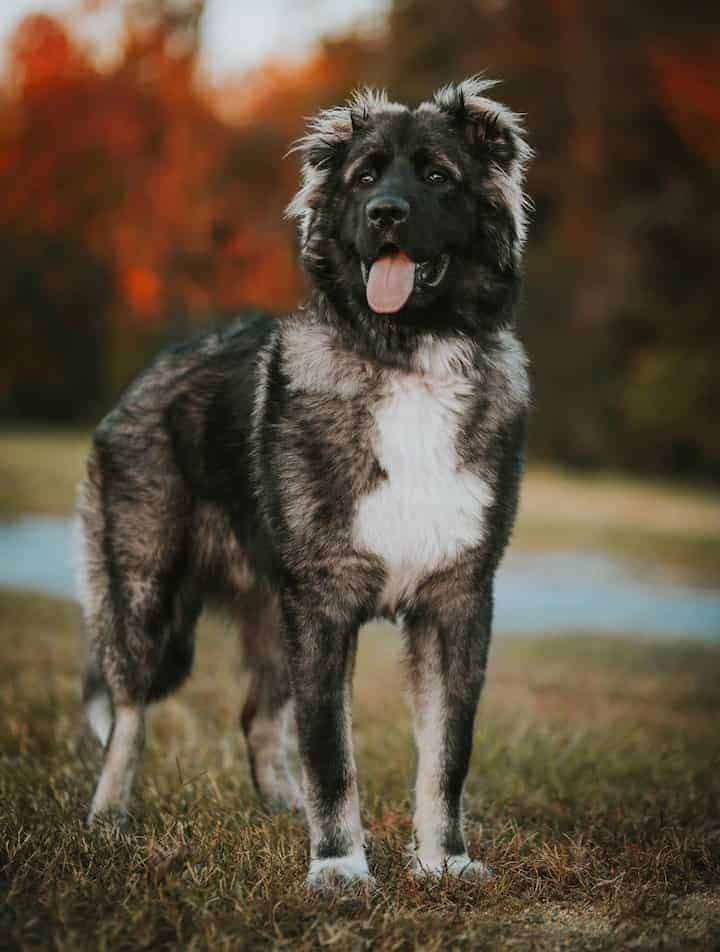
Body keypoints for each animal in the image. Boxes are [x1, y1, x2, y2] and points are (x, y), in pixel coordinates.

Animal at [79, 78, 532, 888]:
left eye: (437, 175)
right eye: (365, 176)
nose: (385, 213)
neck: (407, 358)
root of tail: (149, 372)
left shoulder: (455, 603)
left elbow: (447, 755)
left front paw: (443, 859)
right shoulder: (324, 606)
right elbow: (331, 755)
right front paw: (340, 867)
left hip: (270, 614)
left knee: (256, 716)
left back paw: (279, 807)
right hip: (146, 594)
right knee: (127, 713)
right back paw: (107, 820)